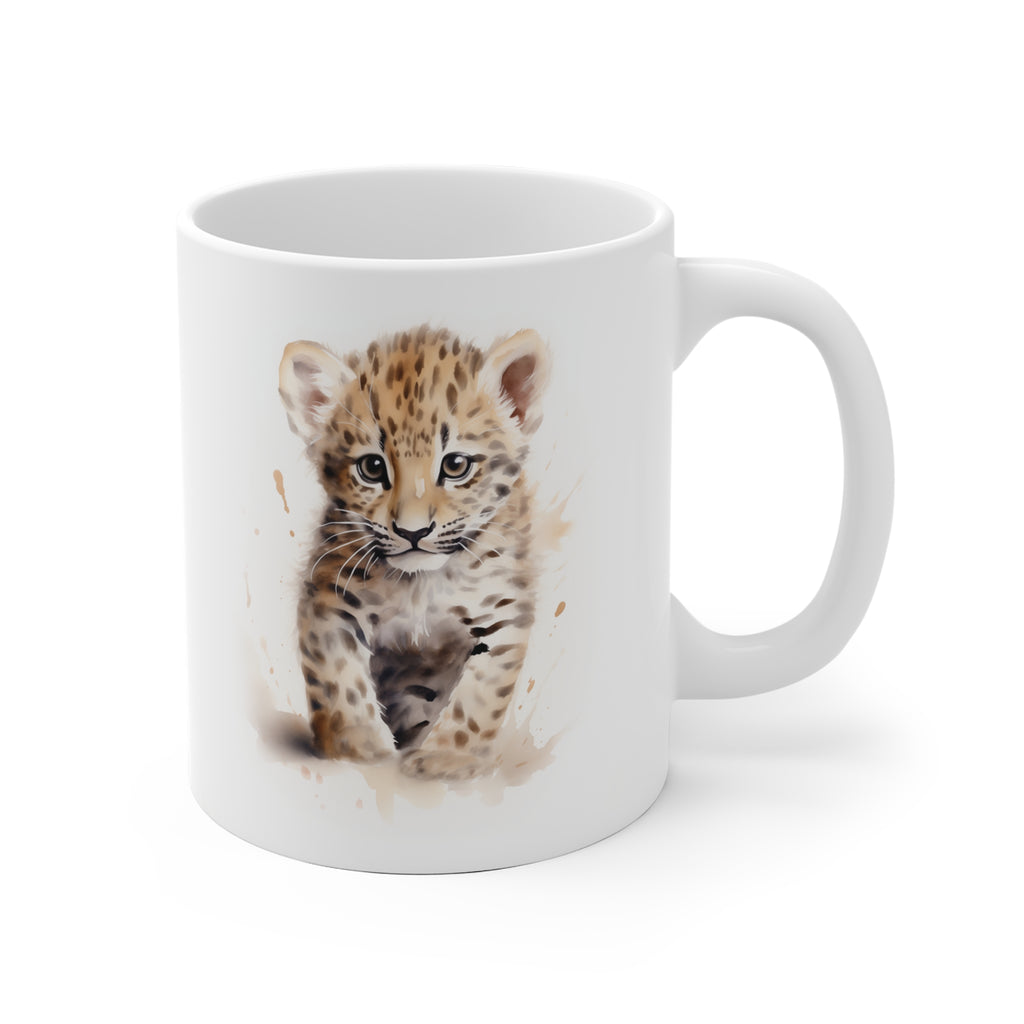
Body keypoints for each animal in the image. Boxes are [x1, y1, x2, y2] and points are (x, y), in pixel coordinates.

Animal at [278, 324, 550, 782]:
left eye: (456, 465)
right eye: (371, 468)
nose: (413, 531)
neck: (422, 583)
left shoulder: (502, 615)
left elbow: (478, 698)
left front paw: (447, 759)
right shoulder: (329, 602)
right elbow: (341, 684)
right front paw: (359, 751)